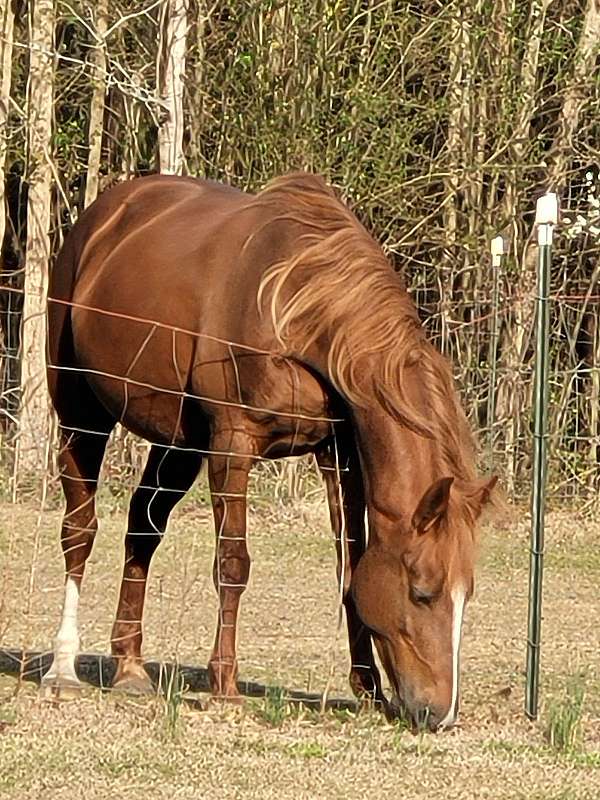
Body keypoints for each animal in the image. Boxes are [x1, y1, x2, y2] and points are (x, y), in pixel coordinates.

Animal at [43, 173, 496, 732]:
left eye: (467, 594)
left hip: (176, 442)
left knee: (142, 530)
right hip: (80, 414)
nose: (441, 713)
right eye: (423, 592)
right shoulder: (233, 444)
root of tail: (103, 216)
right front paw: (224, 687)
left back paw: (128, 666)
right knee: (79, 533)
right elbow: (233, 564)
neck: (302, 310)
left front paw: (368, 689)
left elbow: (350, 568)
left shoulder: (339, 455)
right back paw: (63, 666)